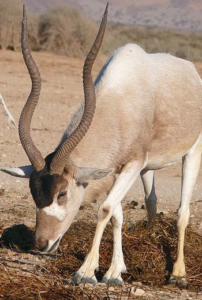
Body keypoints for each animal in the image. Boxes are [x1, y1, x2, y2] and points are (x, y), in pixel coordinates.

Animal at [1, 4, 202, 286]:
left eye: (62, 193)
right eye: (33, 193)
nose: (42, 244)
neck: (120, 101)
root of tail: (190, 70)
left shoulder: (131, 164)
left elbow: (105, 209)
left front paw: (86, 272)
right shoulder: (115, 169)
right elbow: (117, 215)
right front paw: (115, 272)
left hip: (192, 151)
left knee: (183, 211)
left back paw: (177, 274)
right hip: (148, 168)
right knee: (151, 201)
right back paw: (150, 238)